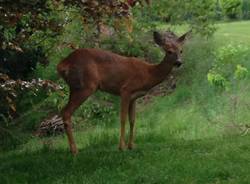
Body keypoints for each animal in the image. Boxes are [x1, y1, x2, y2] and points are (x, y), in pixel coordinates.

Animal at [57, 30, 189, 154]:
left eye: (181, 51)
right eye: (169, 51)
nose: (179, 62)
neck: (148, 74)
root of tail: (62, 65)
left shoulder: (134, 97)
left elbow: (133, 120)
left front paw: (131, 146)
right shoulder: (125, 89)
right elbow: (123, 118)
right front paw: (121, 147)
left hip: (74, 87)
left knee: (64, 110)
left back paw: (72, 148)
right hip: (86, 85)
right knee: (66, 112)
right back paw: (74, 150)